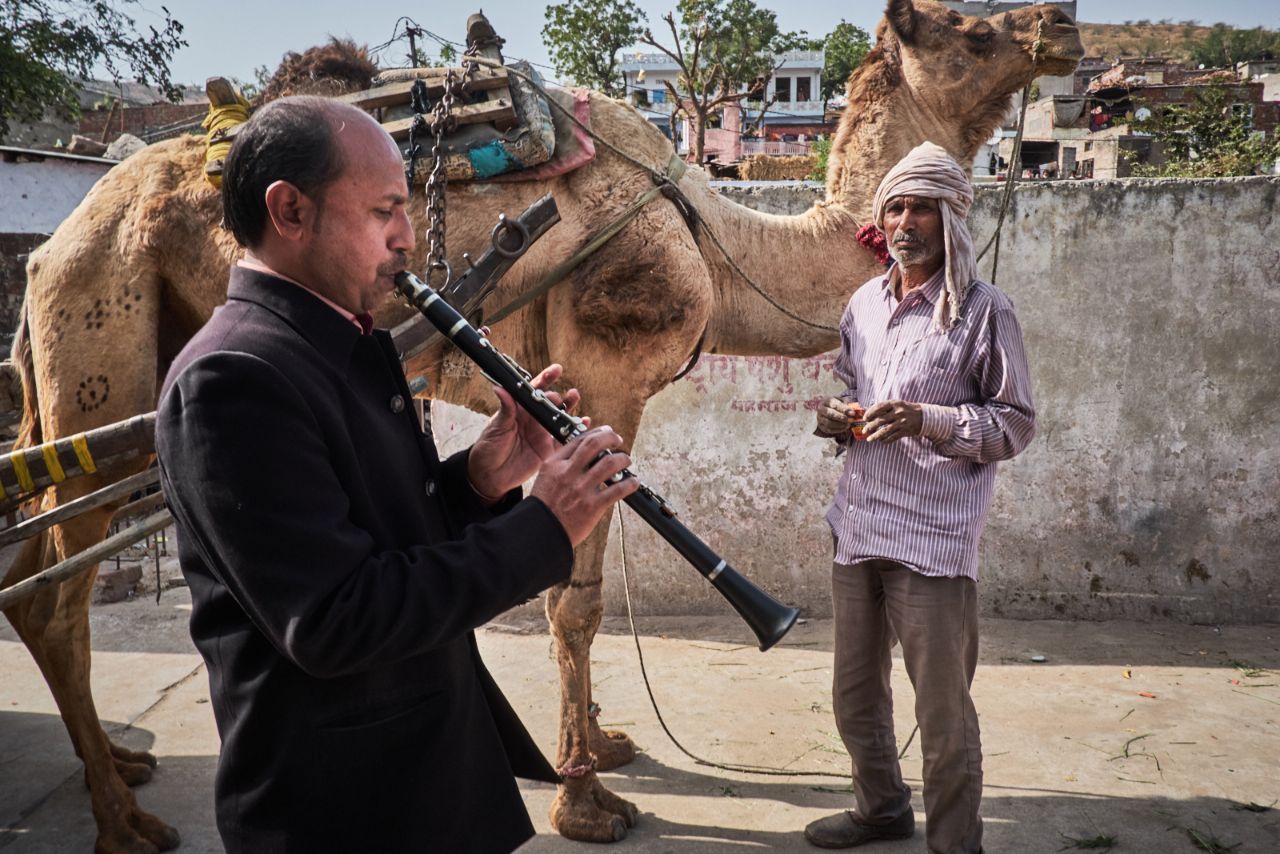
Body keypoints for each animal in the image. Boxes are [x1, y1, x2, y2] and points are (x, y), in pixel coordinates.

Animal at [2, 3, 1080, 850]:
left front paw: (601, 745)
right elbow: (576, 598)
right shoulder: (608, 375)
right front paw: (588, 802)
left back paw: (125, 770)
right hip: (102, 350)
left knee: (36, 570)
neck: (715, 245)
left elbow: (578, 583)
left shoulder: (599, 392)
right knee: (53, 592)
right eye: (973, 27)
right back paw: (123, 822)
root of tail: (53, 244)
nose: (1061, 23)